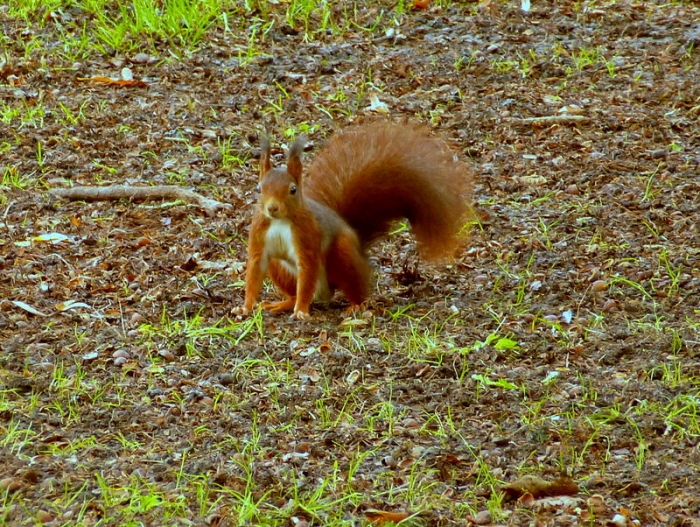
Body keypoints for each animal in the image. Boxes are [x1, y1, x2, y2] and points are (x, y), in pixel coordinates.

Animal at [234, 121, 472, 320]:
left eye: (293, 190)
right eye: (259, 189)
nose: (272, 208)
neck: (280, 221)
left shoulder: (307, 237)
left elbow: (307, 267)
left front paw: (301, 310)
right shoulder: (259, 237)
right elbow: (255, 269)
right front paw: (245, 307)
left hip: (342, 254)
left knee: (352, 287)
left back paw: (355, 305)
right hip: (280, 267)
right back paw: (283, 304)